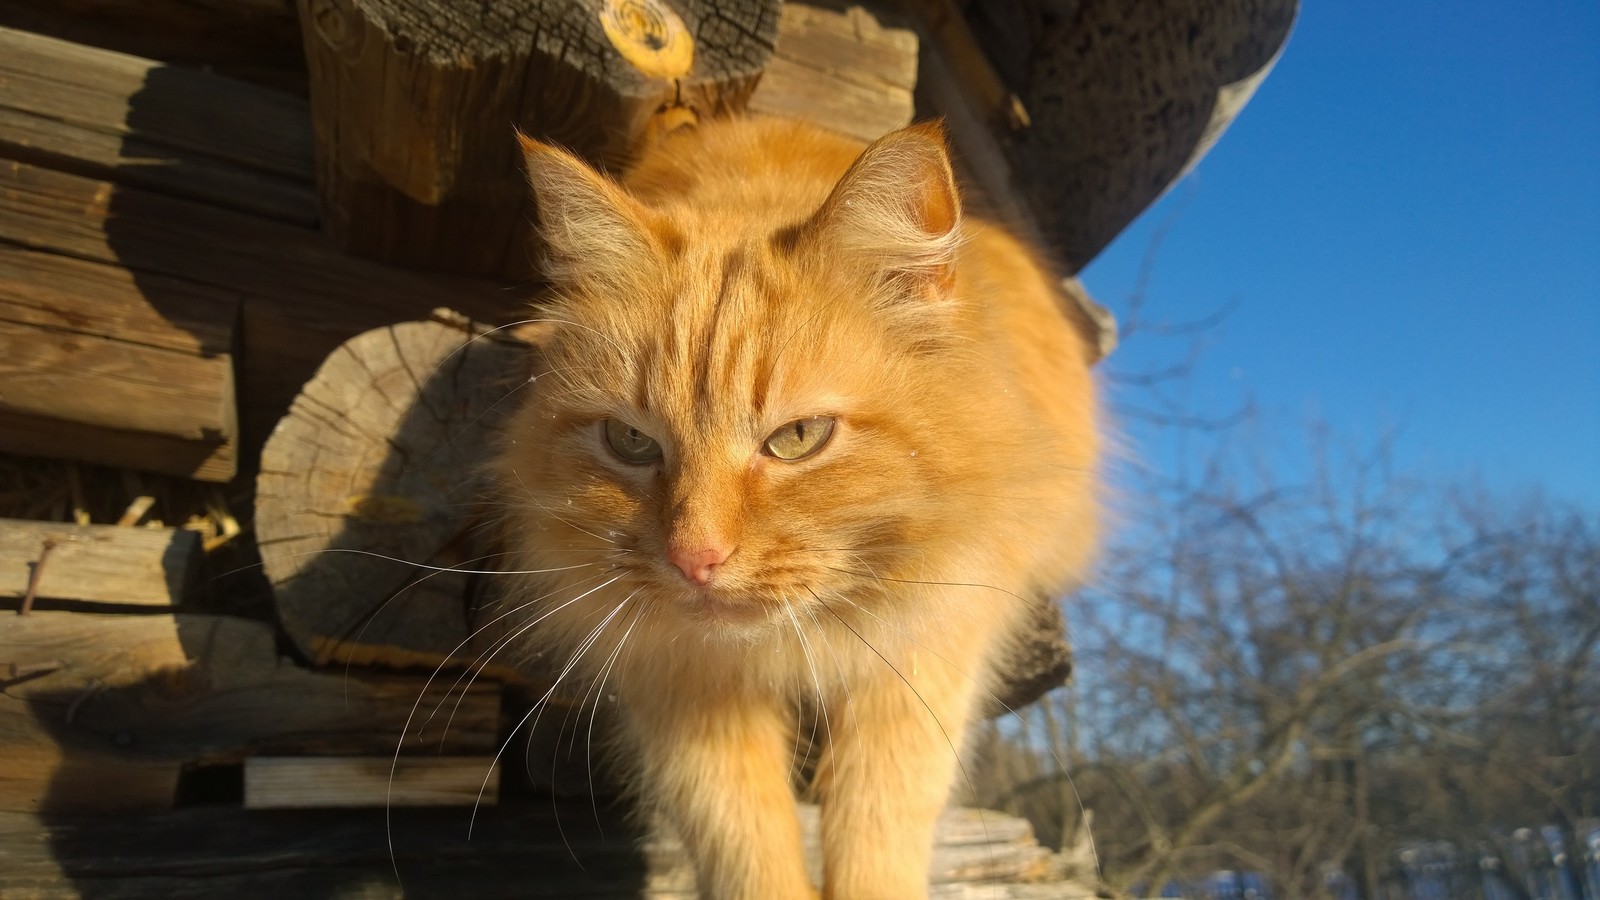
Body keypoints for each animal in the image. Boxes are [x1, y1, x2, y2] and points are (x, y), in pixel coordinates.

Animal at [492, 117, 1100, 896]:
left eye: (798, 439)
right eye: (630, 442)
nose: (694, 558)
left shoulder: (924, 657)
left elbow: (880, 825)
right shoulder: (686, 693)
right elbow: (744, 840)